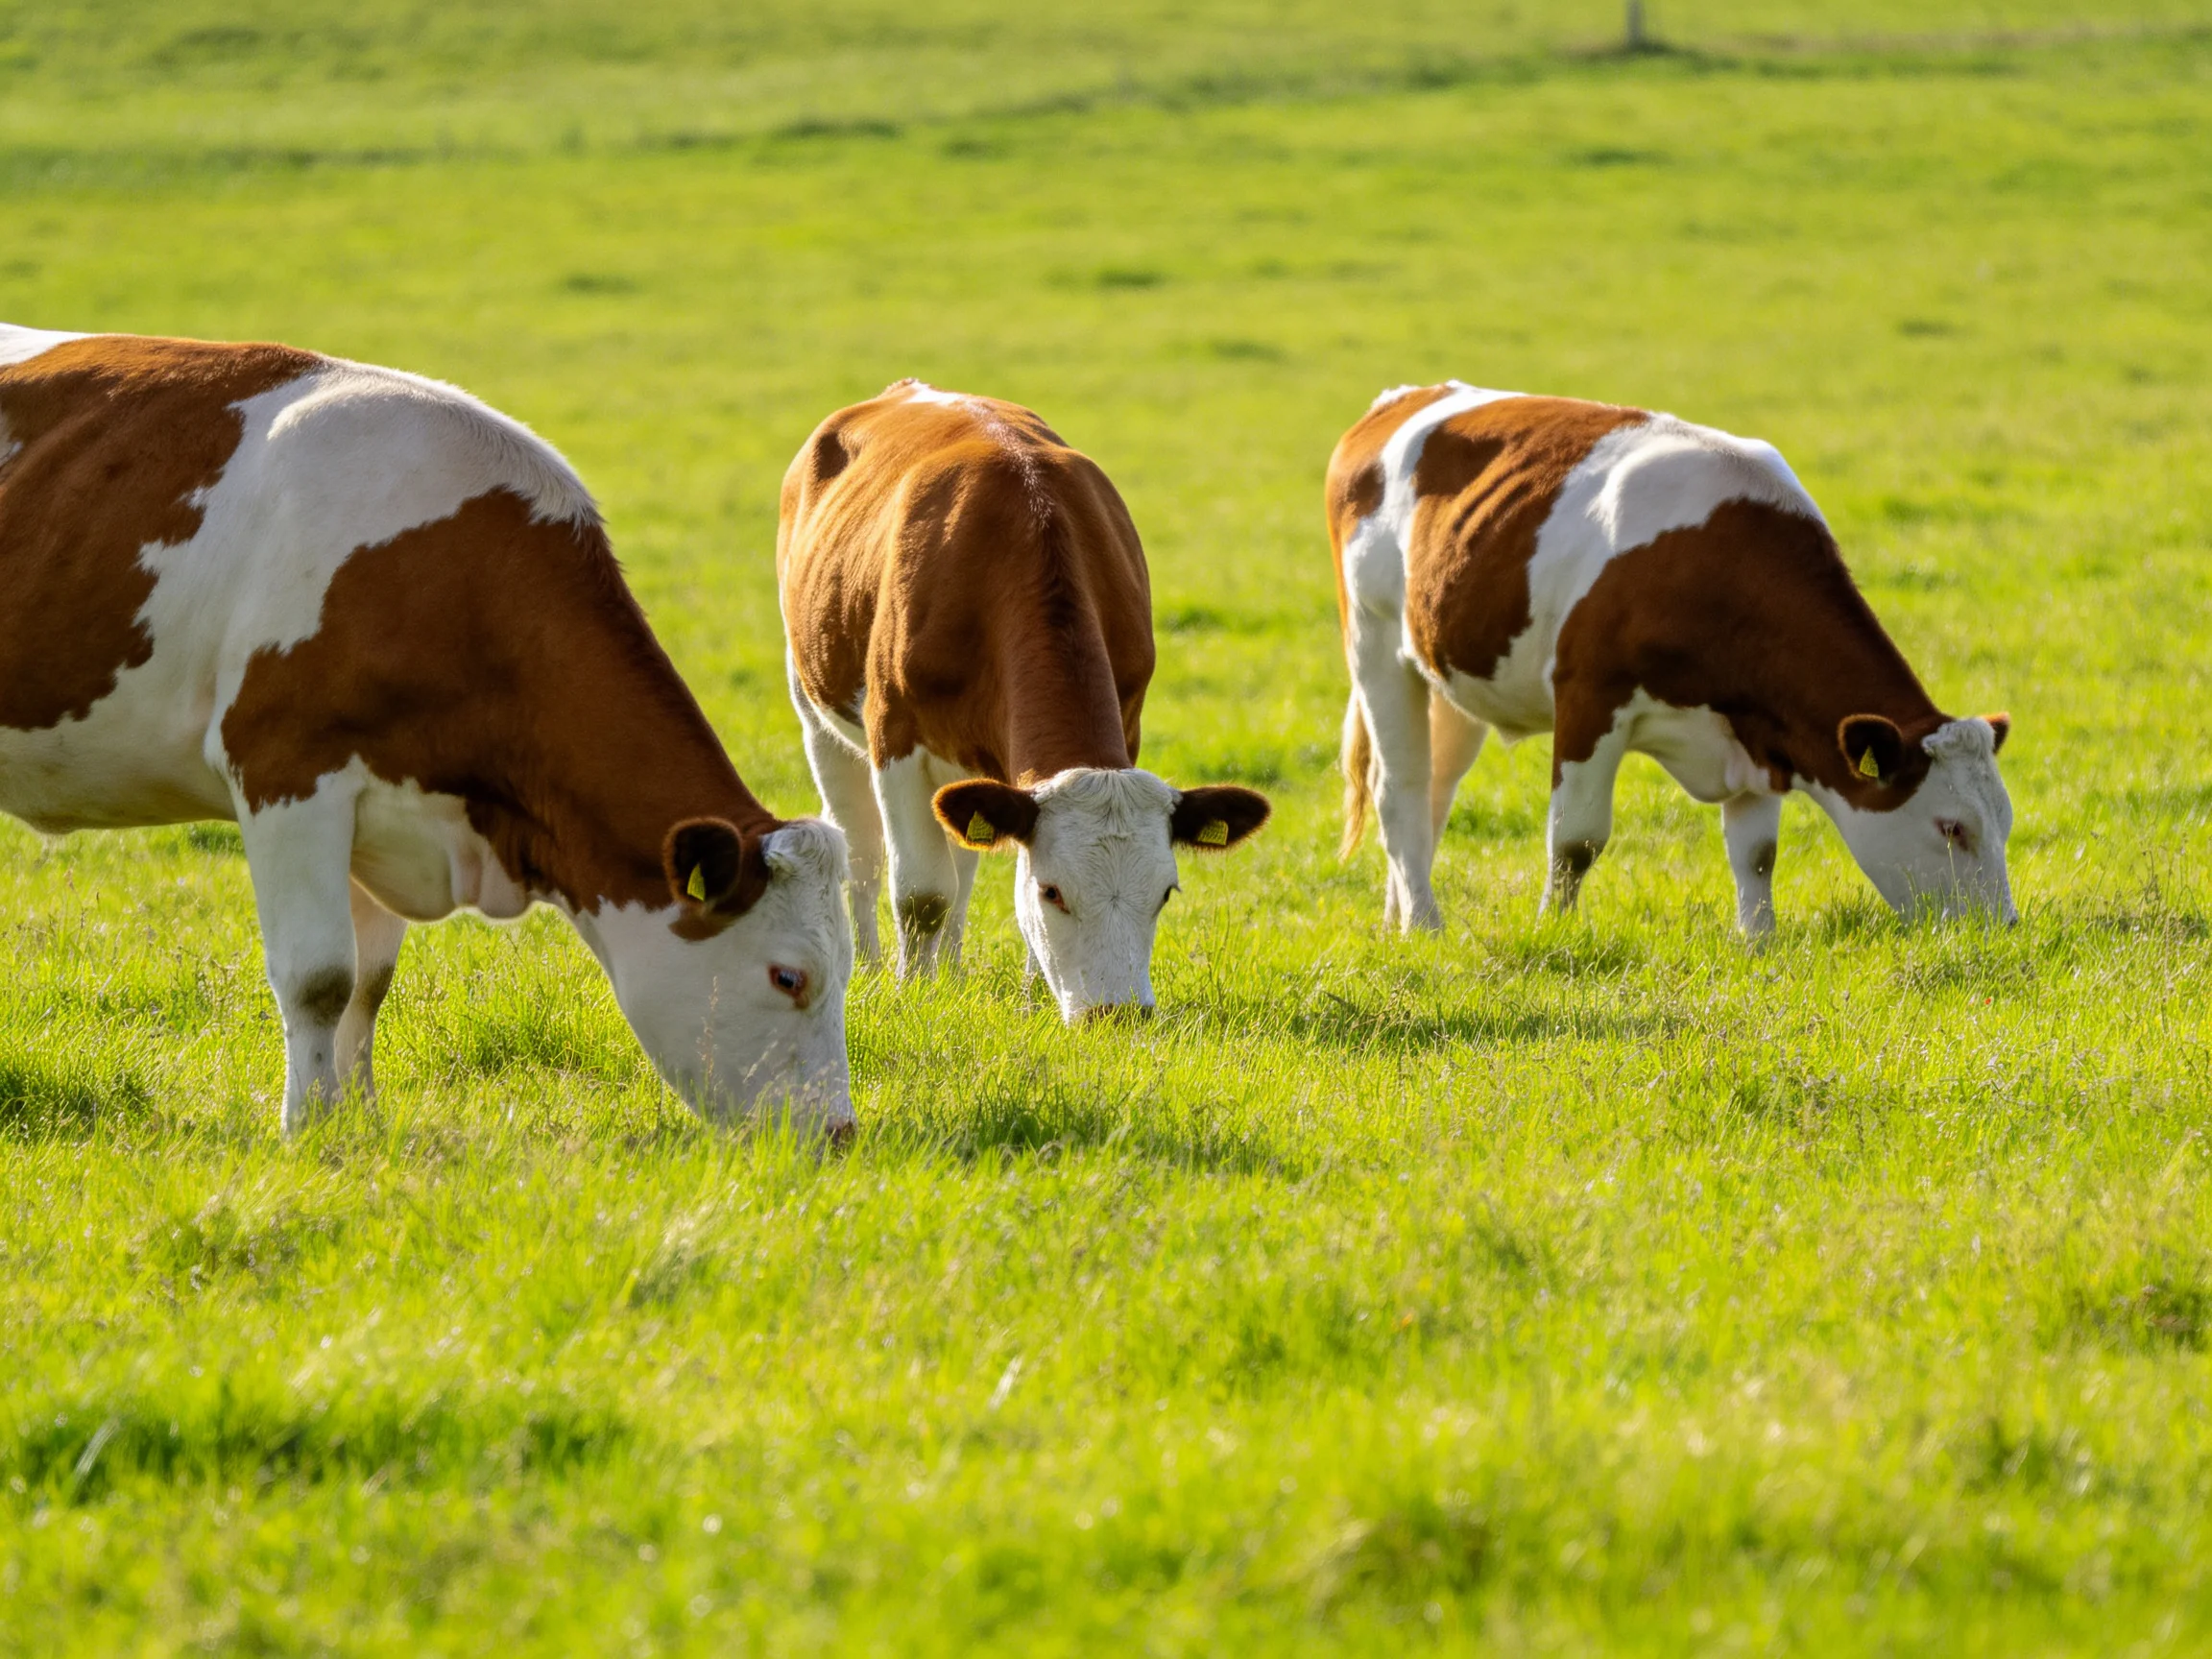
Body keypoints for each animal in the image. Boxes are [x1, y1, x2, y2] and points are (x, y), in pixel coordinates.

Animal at [0, 325, 853, 1138]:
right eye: (789, 976)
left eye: (849, 969)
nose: (839, 1134)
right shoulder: (285, 770)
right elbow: (318, 976)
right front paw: (308, 1128)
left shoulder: (379, 803)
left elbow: (366, 985)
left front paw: (359, 1120)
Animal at [777, 380, 1271, 1020]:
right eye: (1052, 891)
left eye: (1166, 892)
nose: (1116, 1013)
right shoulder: (895, 737)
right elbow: (920, 893)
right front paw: (912, 994)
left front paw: (1033, 999)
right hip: (816, 711)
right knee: (862, 857)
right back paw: (872, 966)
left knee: (960, 861)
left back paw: (952, 971)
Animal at [1330, 382, 2016, 937]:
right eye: (1953, 827)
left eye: (2005, 821)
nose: (2004, 927)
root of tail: (1400, 401)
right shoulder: (1589, 697)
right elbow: (1576, 840)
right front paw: (1554, 932)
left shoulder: (1759, 733)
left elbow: (1757, 852)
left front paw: (1758, 941)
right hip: (1375, 643)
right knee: (1400, 789)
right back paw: (1426, 924)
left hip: (1448, 675)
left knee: (1435, 790)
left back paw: (1399, 919)